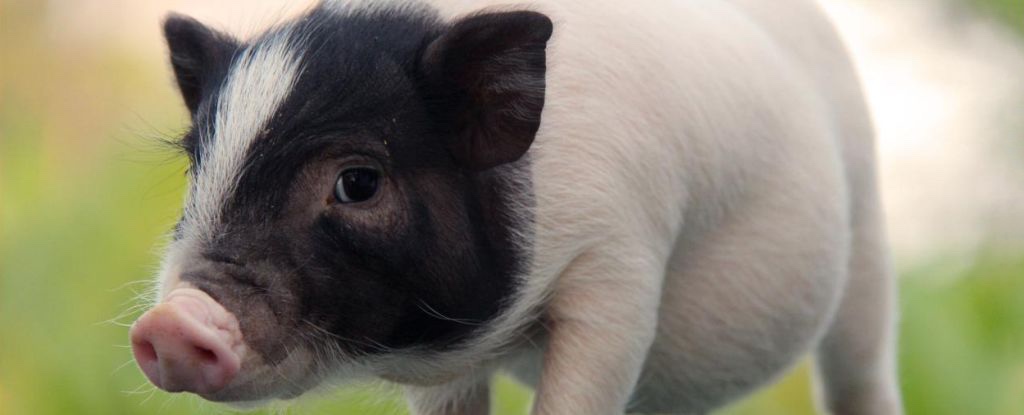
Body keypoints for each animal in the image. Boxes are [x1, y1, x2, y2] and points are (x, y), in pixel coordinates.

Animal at [128, 0, 903, 414]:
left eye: (358, 182)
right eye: (199, 164)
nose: (170, 322)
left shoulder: (618, 260)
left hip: (867, 237)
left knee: (861, 366)